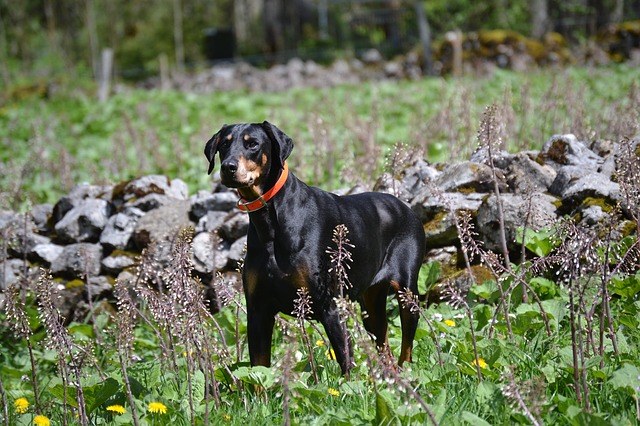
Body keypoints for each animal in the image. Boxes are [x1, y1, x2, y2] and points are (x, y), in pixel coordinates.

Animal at [205, 120, 424, 372]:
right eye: (224, 145)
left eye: (253, 144)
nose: (228, 167)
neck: (270, 222)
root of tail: (405, 207)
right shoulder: (258, 311)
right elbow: (259, 369)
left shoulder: (331, 307)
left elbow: (346, 364)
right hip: (371, 305)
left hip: (407, 293)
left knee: (406, 347)